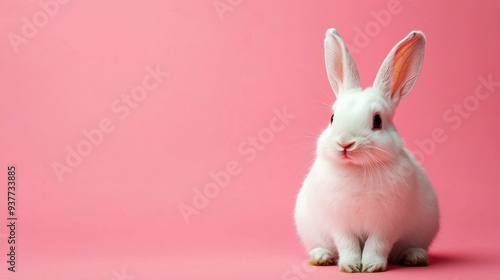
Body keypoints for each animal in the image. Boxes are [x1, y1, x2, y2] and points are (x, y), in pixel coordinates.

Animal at [294, 29, 440, 272]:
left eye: (377, 121)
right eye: (332, 118)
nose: (345, 142)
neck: (357, 169)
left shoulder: (386, 225)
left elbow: (376, 245)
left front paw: (372, 266)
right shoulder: (340, 225)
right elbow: (348, 244)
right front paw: (350, 266)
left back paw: (415, 258)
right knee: (321, 246)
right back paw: (322, 258)